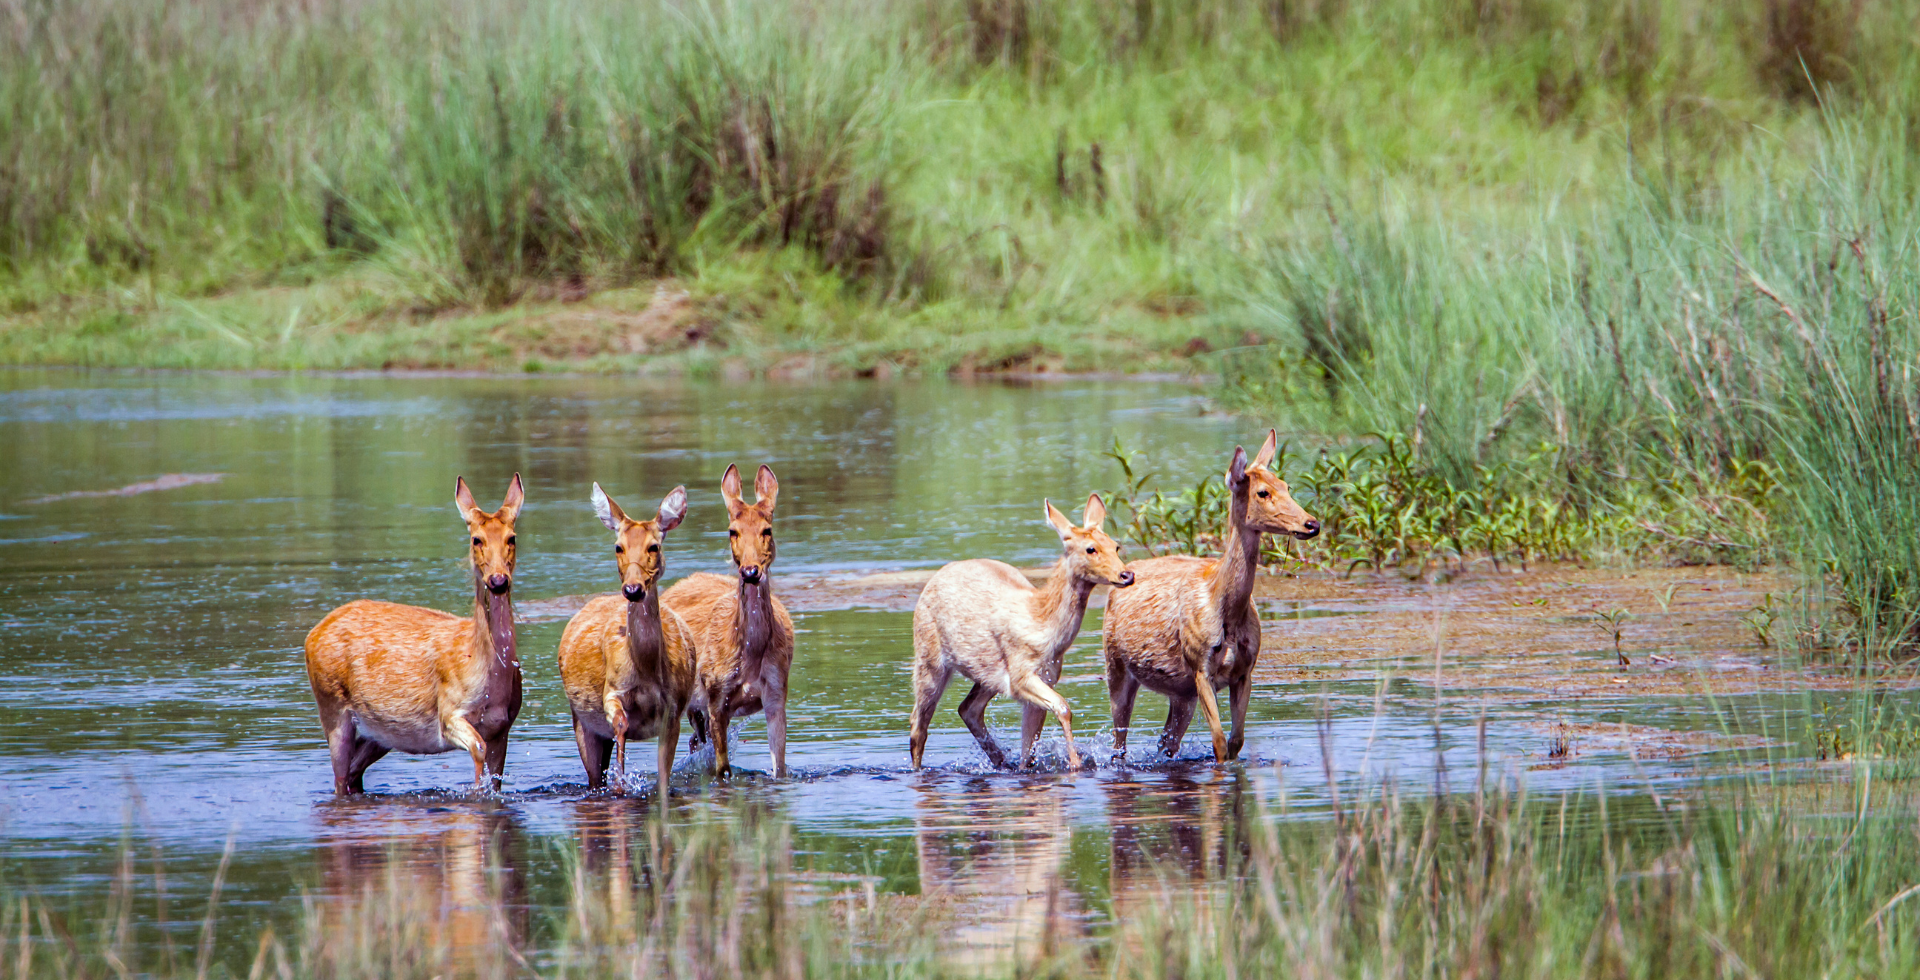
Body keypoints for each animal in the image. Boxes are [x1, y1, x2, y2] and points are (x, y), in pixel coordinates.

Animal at [309, 474, 533, 795]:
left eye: (511, 538)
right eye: (476, 539)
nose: (498, 580)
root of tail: (312, 634)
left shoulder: (502, 724)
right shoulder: (448, 712)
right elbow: (477, 749)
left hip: (382, 732)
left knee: (353, 773)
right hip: (331, 704)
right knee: (341, 777)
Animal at [556, 482, 698, 795]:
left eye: (654, 546)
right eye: (618, 546)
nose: (633, 589)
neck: (646, 669)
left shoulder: (674, 708)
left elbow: (664, 774)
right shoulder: (612, 689)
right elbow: (620, 723)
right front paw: (621, 783)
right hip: (580, 719)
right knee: (593, 774)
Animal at [660, 463, 794, 776]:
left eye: (767, 530)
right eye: (733, 531)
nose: (751, 571)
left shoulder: (777, 690)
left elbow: (780, 767)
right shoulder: (715, 695)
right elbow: (722, 769)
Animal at [906, 495, 1128, 772]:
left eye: (1116, 546)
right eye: (1090, 549)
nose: (1127, 574)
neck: (1043, 626)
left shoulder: (1047, 675)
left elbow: (1030, 750)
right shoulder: (1020, 674)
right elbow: (1063, 707)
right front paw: (1076, 763)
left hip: (986, 673)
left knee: (968, 709)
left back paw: (1001, 761)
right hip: (929, 658)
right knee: (918, 724)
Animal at [1098, 434, 1320, 764]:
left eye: (1287, 486)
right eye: (1263, 492)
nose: (1311, 524)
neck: (1227, 611)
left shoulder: (1244, 671)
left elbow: (1236, 742)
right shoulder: (1200, 667)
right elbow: (1218, 742)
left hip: (1180, 692)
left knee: (1166, 741)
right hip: (1115, 665)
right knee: (1119, 745)